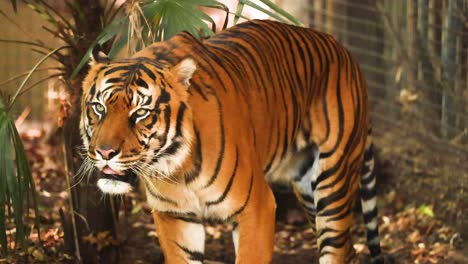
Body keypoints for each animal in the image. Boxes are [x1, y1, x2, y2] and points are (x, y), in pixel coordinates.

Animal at [80, 19, 386, 262]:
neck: (175, 168)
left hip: (333, 184)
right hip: (307, 189)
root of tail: (345, 51)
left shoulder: (257, 207)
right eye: (99, 107)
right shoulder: (174, 216)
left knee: (337, 248)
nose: (105, 152)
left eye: (141, 112)